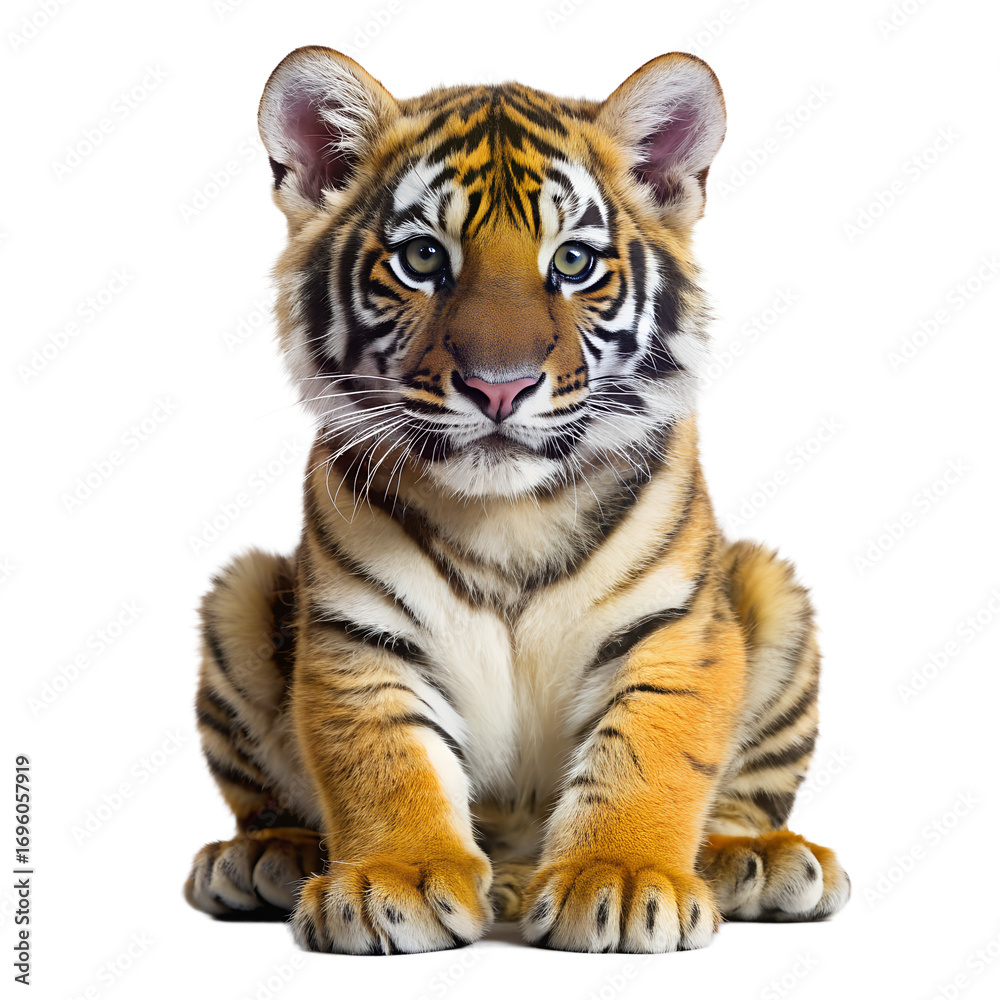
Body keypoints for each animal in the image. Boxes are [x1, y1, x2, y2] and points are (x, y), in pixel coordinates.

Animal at [183, 46, 850, 954]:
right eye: (423, 259)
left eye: (572, 263)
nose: (499, 387)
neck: (510, 516)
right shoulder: (361, 636)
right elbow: (382, 762)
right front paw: (396, 879)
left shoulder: (676, 631)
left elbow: (648, 759)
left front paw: (623, 877)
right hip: (243, 595)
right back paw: (265, 857)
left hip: (769, 589)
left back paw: (757, 859)